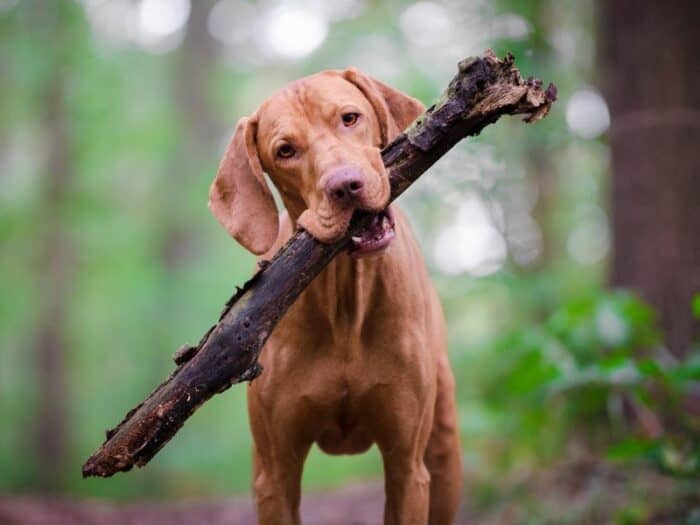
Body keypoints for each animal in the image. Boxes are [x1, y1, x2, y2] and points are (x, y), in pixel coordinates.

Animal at [205, 67, 462, 520]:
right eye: (285, 151)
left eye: (349, 118)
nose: (345, 186)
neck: (344, 300)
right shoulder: (276, 475)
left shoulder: (407, 467)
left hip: (444, 451)